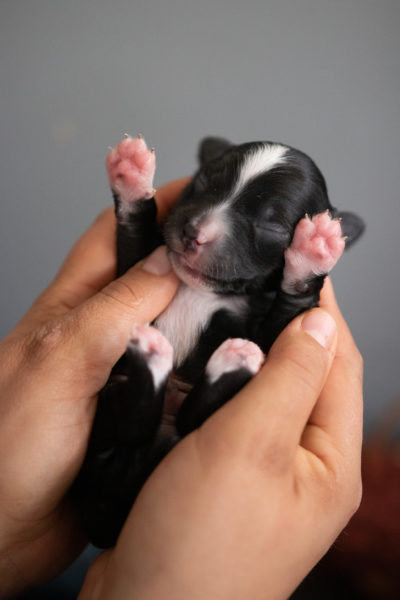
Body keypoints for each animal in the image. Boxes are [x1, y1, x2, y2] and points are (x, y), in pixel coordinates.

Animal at [72, 136, 366, 548]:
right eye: (204, 182)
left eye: (273, 226)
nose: (194, 232)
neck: (206, 291)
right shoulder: (136, 260)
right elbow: (134, 234)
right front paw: (131, 174)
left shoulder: (271, 329)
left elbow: (288, 314)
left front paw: (313, 251)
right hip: (107, 416)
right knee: (136, 419)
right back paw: (155, 355)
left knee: (184, 416)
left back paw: (228, 359)